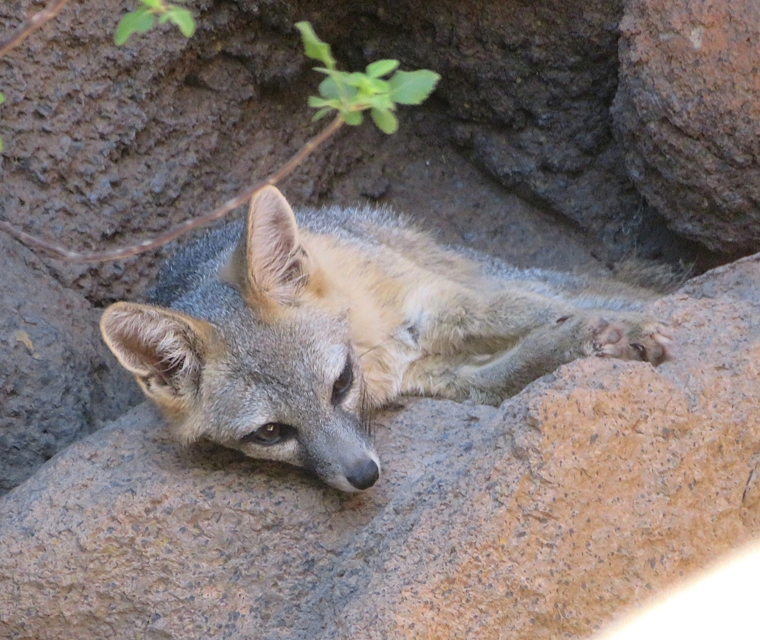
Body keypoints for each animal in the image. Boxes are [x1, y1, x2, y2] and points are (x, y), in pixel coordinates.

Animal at [100, 186, 672, 492]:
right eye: (269, 433)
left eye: (340, 384)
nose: (363, 476)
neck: (378, 353)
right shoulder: (441, 375)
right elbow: (512, 370)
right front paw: (580, 341)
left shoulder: (442, 305)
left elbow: (540, 311)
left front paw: (618, 329)